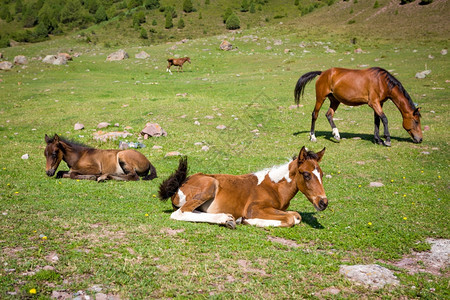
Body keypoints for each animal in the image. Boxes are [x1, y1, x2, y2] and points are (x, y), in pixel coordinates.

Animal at [158, 146, 326, 229]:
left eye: (322, 174)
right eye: (306, 174)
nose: (323, 203)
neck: (275, 187)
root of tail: (180, 184)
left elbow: (296, 215)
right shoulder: (254, 209)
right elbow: (290, 218)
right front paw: (248, 221)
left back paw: (229, 220)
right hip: (210, 185)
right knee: (180, 213)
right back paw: (227, 219)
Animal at [294, 68, 424, 148]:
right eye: (416, 121)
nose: (420, 139)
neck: (382, 82)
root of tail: (322, 73)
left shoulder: (379, 103)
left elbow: (377, 121)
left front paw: (378, 140)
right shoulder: (374, 103)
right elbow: (384, 119)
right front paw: (387, 140)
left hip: (335, 100)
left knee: (329, 114)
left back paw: (336, 135)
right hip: (321, 98)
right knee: (314, 115)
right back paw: (313, 137)